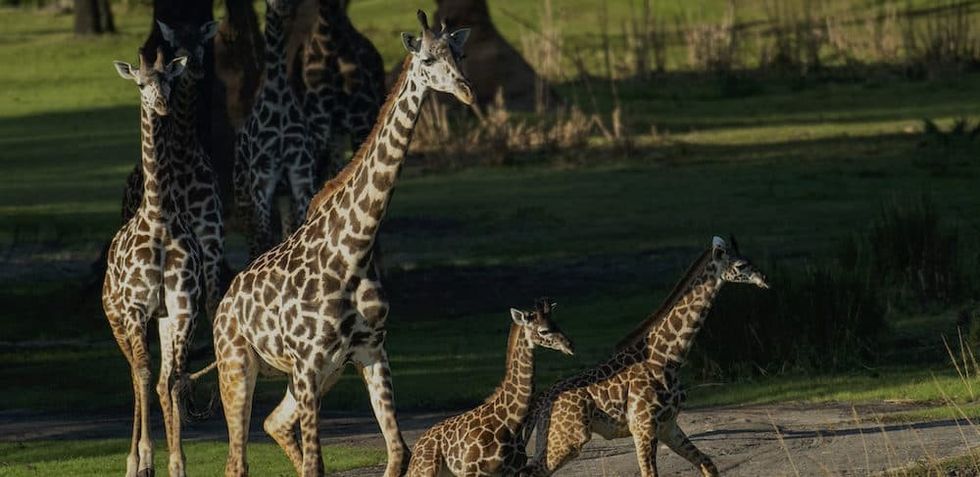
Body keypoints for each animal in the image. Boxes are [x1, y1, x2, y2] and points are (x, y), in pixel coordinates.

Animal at [235, 0, 317, 259]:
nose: (284, 7)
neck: (279, 94)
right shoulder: (262, 177)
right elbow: (264, 237)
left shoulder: (301, 172)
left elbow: (299, 227)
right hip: (243, 191)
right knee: (252, 238)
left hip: (282, 193)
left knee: (285, 230)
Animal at [406, 298, 574, 477]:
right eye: (544, 331)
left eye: (556, 323)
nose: (570, 345)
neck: (512, 423)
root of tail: (416, 448)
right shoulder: (472, 471)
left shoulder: (512, 472)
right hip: (427, 469)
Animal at [520, 236, 770, 477]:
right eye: (741, 264)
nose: (764, 278)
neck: (668, 357)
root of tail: (544, 397)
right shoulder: (643, 427)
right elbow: (650, 473)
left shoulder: (668, 425)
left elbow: (708, 464)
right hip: (568, 439)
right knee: (530, 471)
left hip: (552, 437)